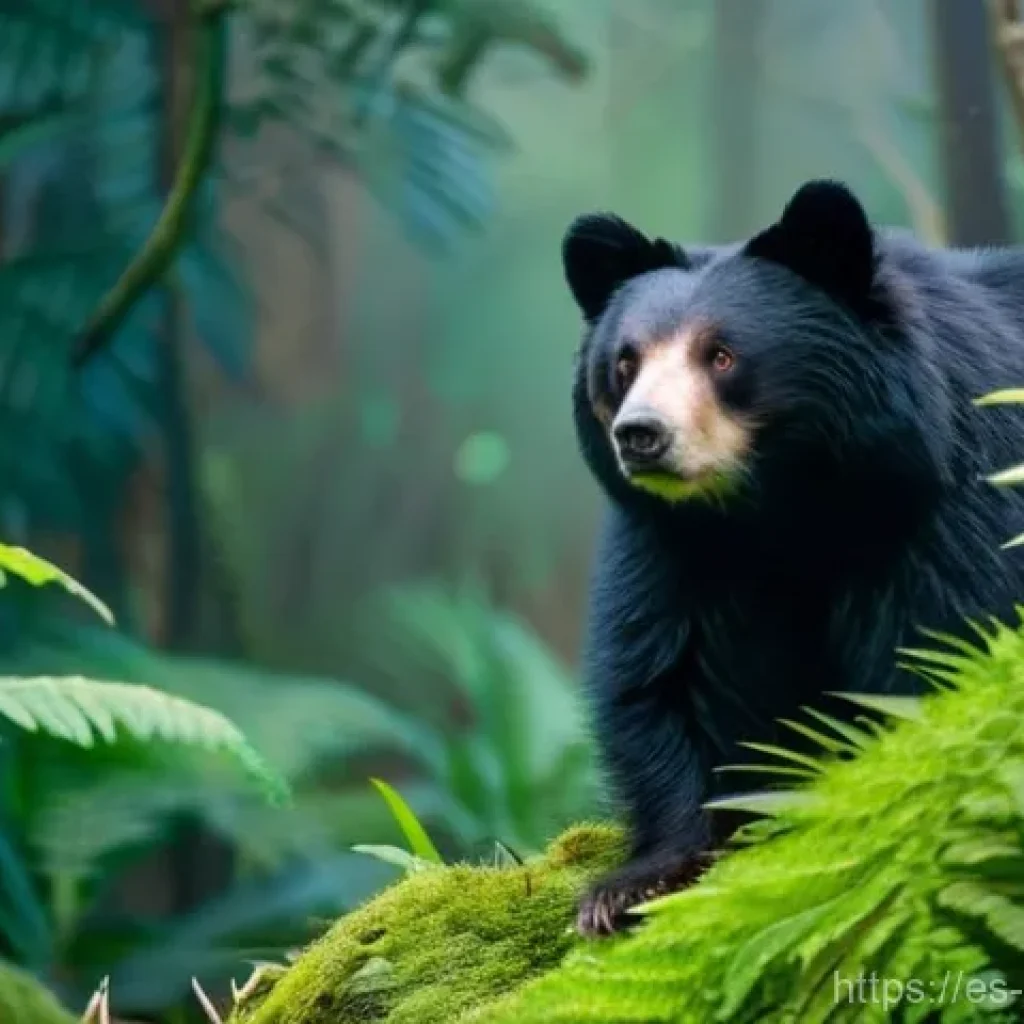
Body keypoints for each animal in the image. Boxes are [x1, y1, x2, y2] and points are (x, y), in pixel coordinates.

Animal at [563, 179, 1024, 937]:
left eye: (721, 356)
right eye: (625, 364)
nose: (641, 435)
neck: (783, 505)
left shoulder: (957, 500)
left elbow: (938, 646)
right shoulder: (672, 545)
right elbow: (664, 675)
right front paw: (635, 883)